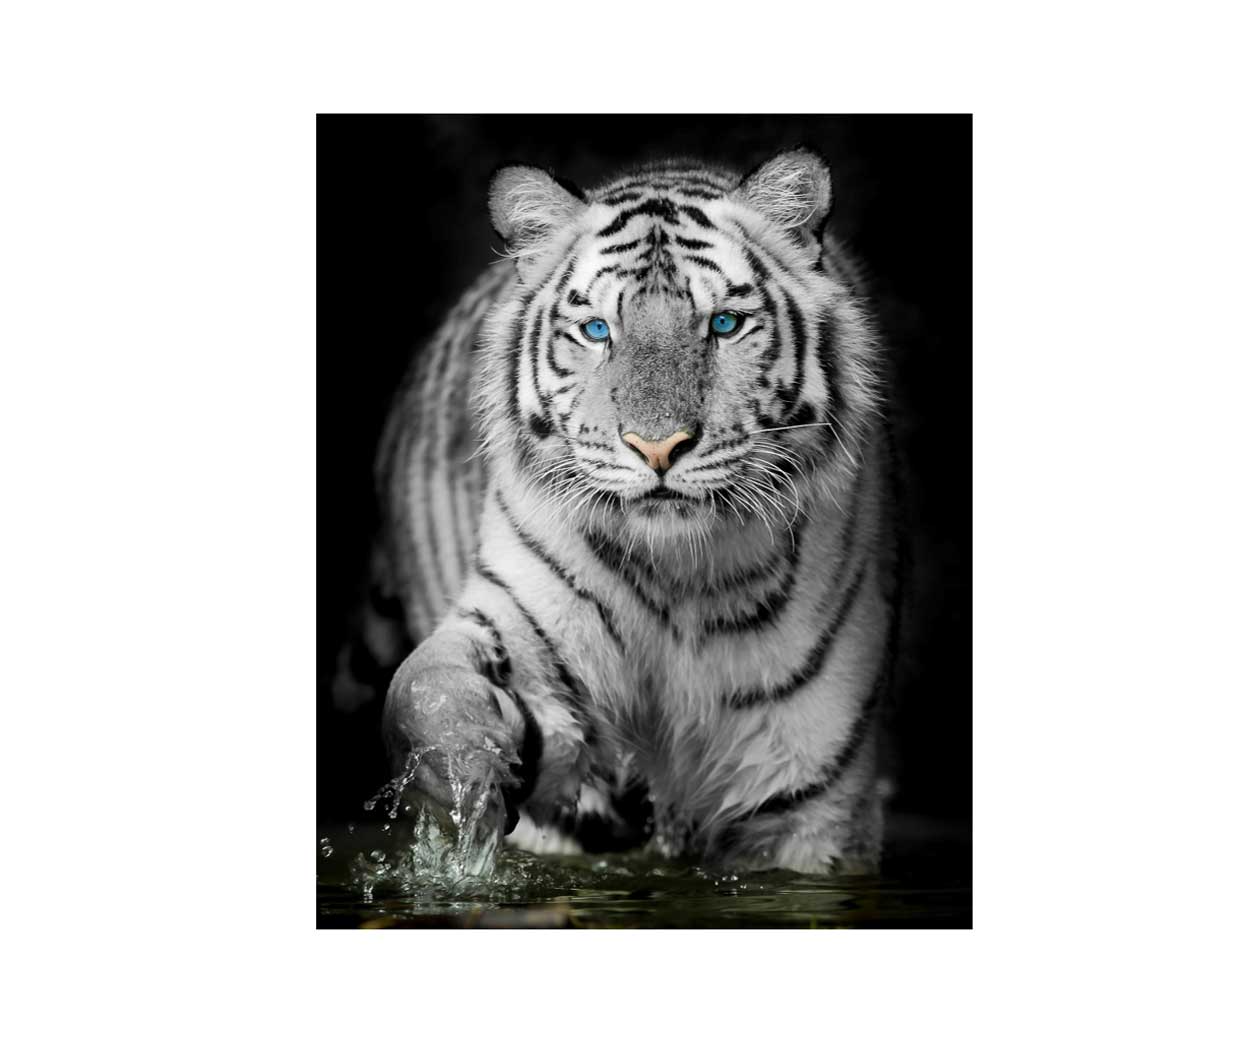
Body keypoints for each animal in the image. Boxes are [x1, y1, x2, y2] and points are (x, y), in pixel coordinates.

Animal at [336, 149, 903, 875]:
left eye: (723, 324)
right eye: (597, 330)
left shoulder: (811, 799)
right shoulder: (518, 622)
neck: (680, 578)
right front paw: (464, 774)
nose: (657, 447)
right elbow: (425, 686)